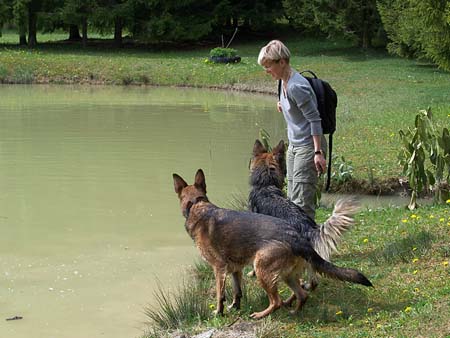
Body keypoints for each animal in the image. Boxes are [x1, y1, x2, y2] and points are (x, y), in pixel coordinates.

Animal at [172, 169, 372, 320]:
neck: (197, 205)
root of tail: (297, 237)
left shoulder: (218, 269)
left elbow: (220, 295)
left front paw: (219, 313)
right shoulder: (235, 269)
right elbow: (237, 292)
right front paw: (235, 307)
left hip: (262, 269)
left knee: (276, 301)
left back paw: (261, 314)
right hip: (287, 275)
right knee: (302, 294)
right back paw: (294, 311)